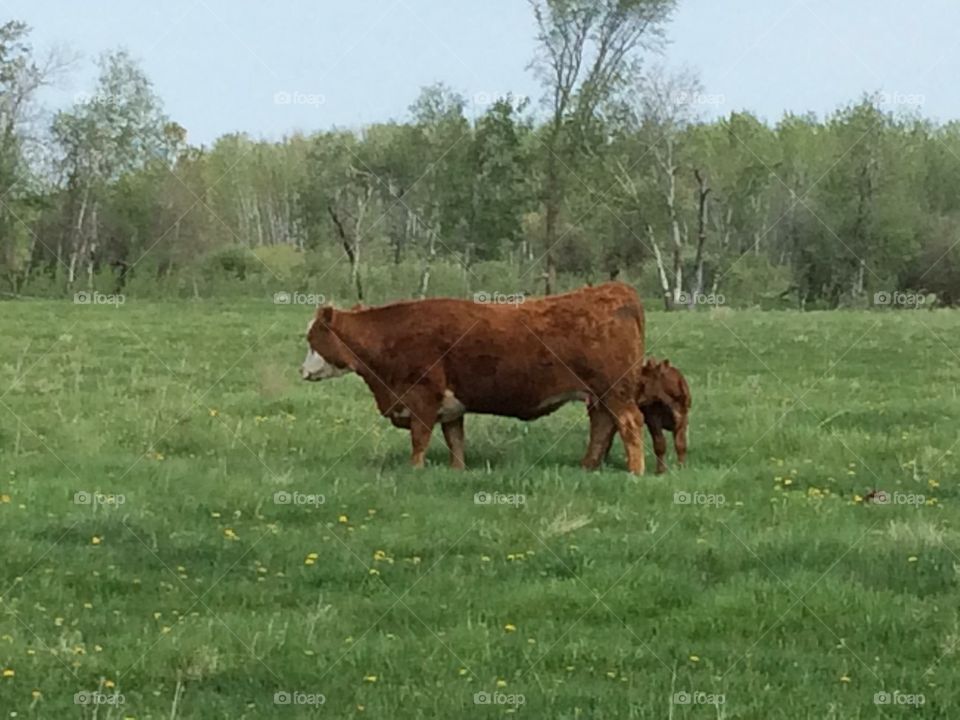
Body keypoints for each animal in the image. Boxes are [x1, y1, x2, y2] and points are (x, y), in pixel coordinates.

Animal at [301, 282, 647, 473]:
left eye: (312, 339)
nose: (302, 371)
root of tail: (615, 290)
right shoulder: (451, 406)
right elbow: (455, 440)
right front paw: (457, 470)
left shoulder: (422, 398)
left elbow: (420, 439)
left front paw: (415, 469)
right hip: (600, 396)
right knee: (602, 427)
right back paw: (588, 466)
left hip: (615, 391)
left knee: (629, 423)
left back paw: (636, 471)